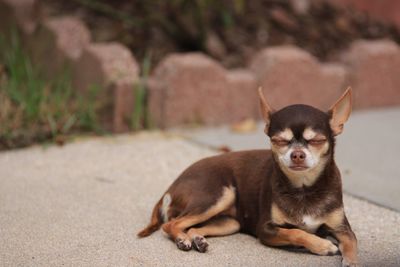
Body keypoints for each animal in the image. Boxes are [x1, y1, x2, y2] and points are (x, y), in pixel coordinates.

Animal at [138, 87, 360, 266]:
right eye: (279, 141)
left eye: (316, 141)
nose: (297, 154)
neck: (304, 189)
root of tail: (172, 185)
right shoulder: (266, 230)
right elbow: (296, 232)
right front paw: (322, 245)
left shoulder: (342, 229)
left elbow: (352, 244)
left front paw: (351, 262)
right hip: (219, 195)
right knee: (170, 224)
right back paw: (182, 239)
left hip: (230, 222)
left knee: (192, 228)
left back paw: (196, 240)